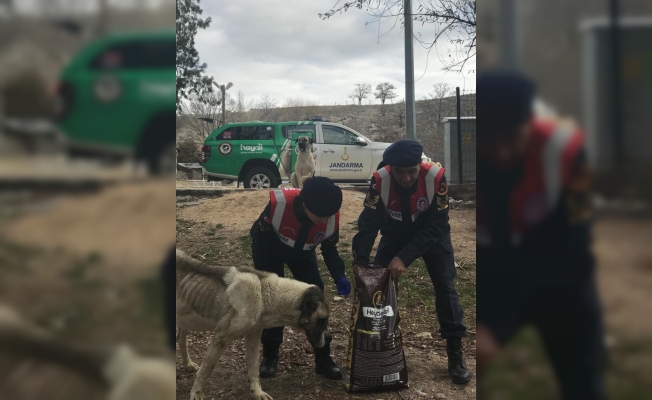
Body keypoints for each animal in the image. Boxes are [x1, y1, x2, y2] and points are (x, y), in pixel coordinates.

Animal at [174, 248, 332, 398]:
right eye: (323, 319)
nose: (330, 338)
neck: (264, 294)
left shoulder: (253, 335)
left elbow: (253, 367)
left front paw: (256, 392)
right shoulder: (221, 338)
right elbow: (206, 368)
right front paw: (196, 392)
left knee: (181, 338)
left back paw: (187, 364)